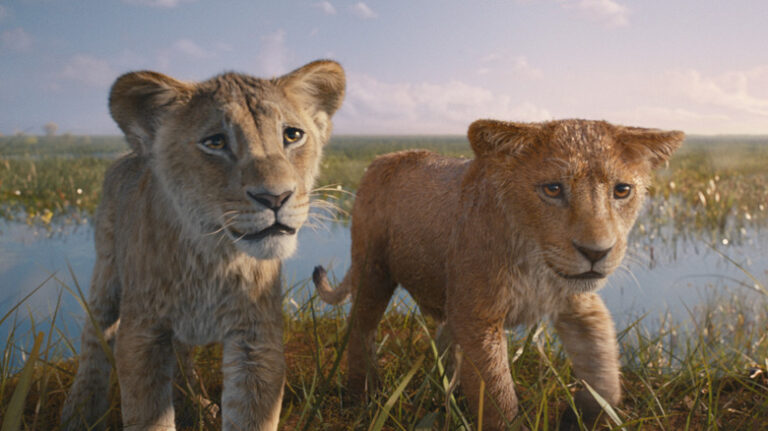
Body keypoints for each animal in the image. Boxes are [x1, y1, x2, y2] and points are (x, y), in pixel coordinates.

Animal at [60, 60, 345, 431]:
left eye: (292, 135)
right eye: (216, 142)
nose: (275, 197)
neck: (214, 257)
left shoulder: (256, 338)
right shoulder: (142, 334)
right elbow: (147, 415)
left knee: (181, 354)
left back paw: (194, 403)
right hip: (106, 271)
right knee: (95, 336)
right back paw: (79, 411)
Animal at [313, 119, 683, 430]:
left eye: (622, 191)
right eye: (552, 189)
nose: (596, 253)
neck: (536, 263)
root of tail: (382, 158)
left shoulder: (579, 306)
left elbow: (605, 371)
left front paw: (582, 415)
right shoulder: (479, 317)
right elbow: (498, 394)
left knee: (446, 342)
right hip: (373, 269)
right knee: (361, 328)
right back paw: (363, 396)